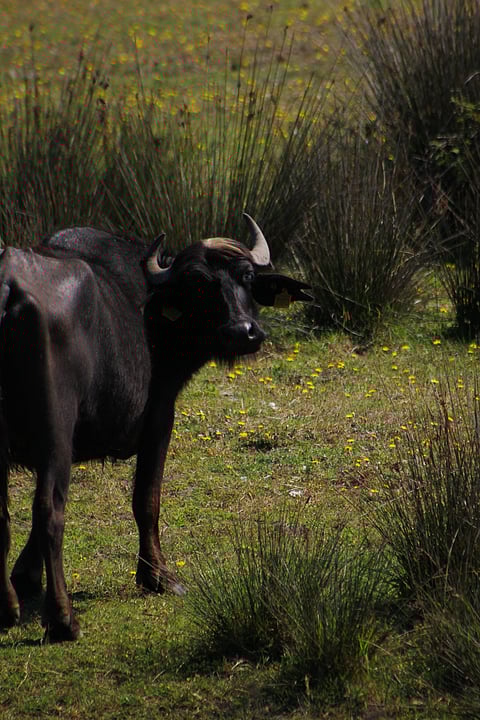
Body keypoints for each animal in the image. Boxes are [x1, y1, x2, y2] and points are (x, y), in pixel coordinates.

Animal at [0, 213, 310, 641]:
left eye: (247, 277)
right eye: (200, 285)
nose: (242, 332)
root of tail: (9, 289)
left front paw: (26, 577)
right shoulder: (160, 417)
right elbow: (146, 500)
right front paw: (158, 576)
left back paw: (6, 608)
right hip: (56, 434)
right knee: (50, 512)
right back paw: (64, 621)